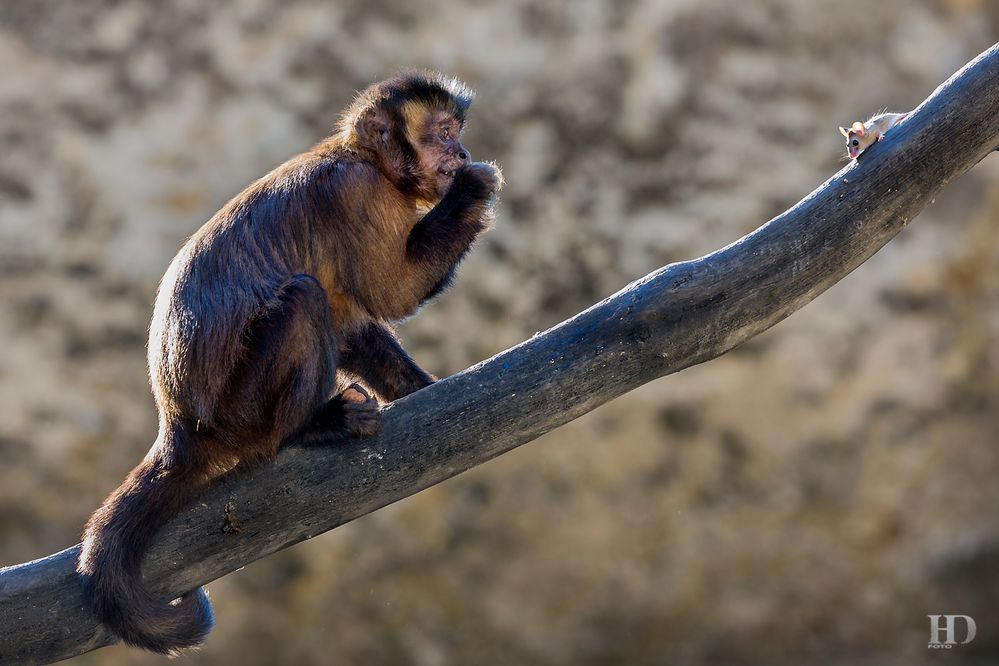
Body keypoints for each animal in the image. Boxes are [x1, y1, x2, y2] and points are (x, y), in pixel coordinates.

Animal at [78, 70, 504, 652]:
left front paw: (421, 389)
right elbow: (393, 293)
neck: (365, 159)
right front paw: (473, 187)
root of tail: (178, 426)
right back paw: (307, 428)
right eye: (443, 133)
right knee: (303, 299)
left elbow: (353, 326)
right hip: (236, 413)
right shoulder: (355, 193)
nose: (460, 152)